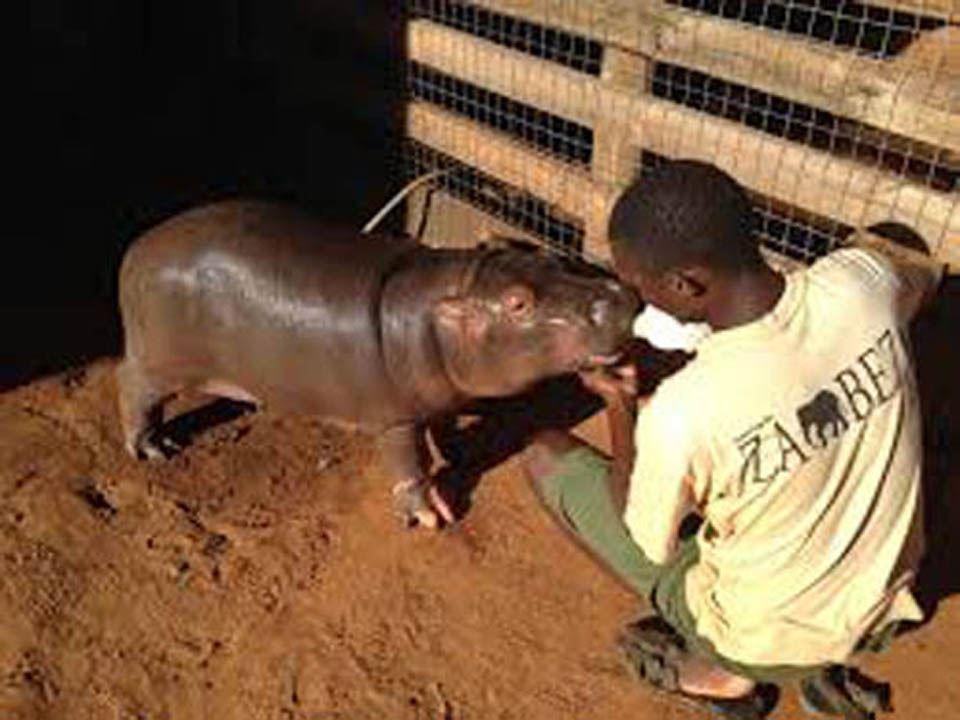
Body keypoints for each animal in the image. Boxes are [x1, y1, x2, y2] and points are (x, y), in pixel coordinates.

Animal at [116, 200, 637, 526]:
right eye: (517, 303)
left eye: (551, 257)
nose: (619, 295)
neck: (449, 298)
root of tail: (135, 250)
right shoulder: (395, 419)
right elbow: (410, 462)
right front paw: (430, 515)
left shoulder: (440, 397)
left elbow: (443, 427)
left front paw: (459, 454)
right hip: (159, 364)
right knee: (133, 388)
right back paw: (153, 449)